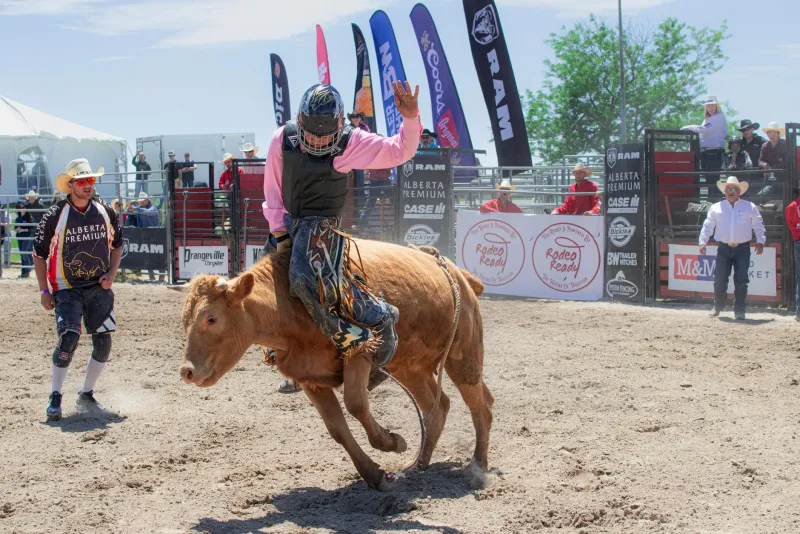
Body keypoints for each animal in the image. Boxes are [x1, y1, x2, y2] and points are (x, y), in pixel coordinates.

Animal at [174, 239, 493, 490]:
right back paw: (419, 463)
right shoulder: (309, 379)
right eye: (185, 320)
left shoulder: (360, 351)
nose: (187, 372)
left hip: (463, 354)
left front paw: (392, 441)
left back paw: (477, 467)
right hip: (409, 367)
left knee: (481, 406)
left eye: (211, 318)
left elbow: (355, 403)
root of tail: (455, 272)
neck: (290, 304)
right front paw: (374, 474)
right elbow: (337, 429)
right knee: (437, 407)